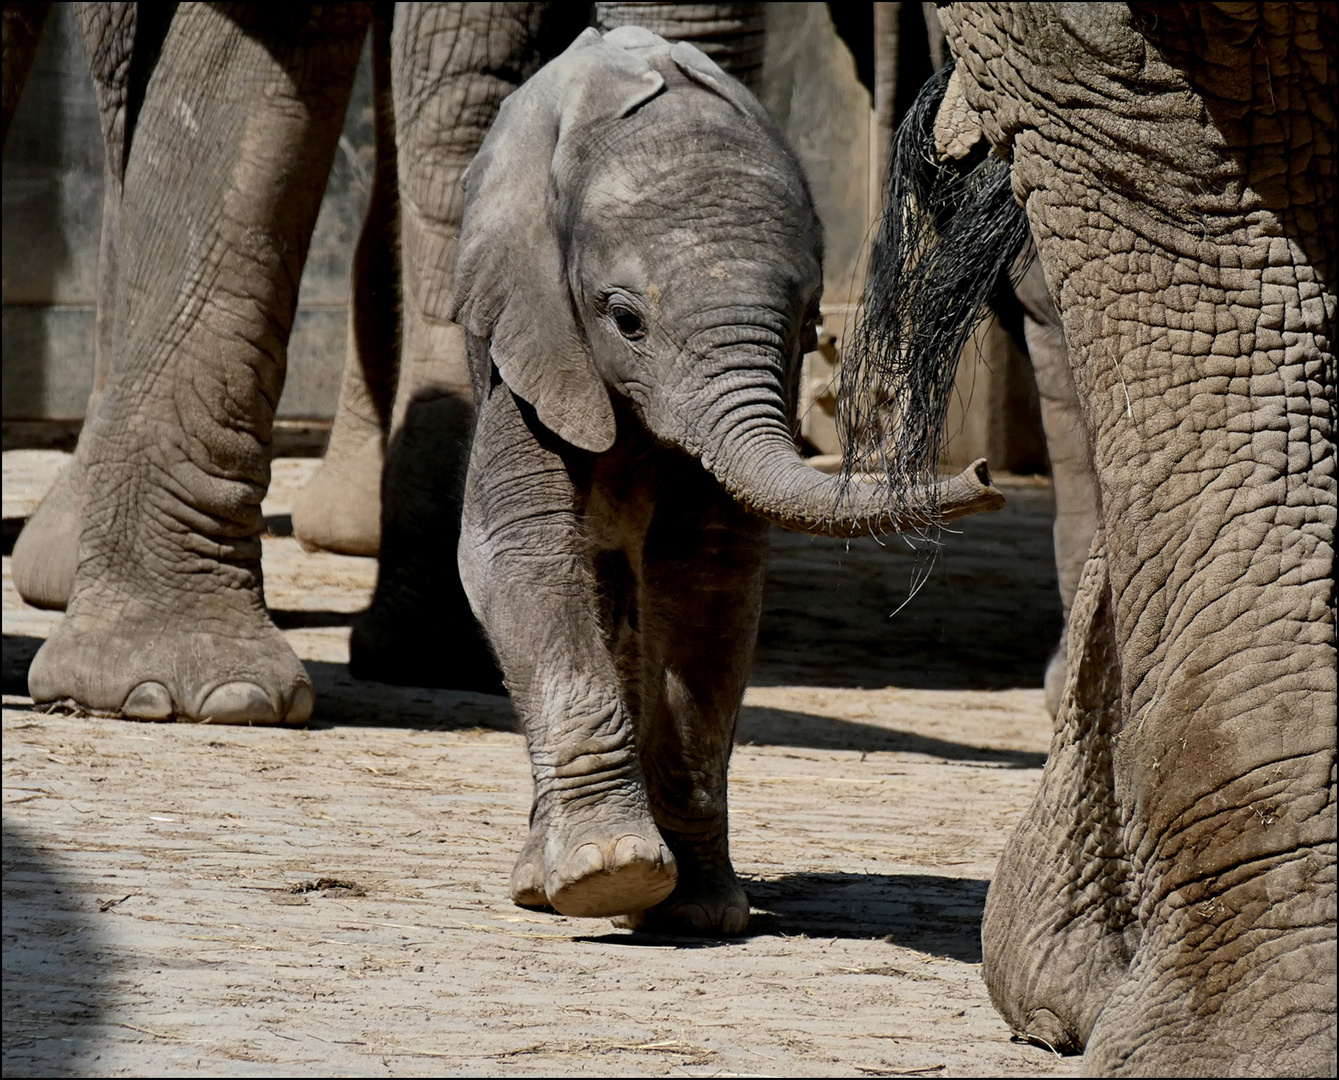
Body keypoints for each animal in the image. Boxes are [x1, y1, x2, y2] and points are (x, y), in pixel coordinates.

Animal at [452, 25, 1006, 936]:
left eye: (811, 320)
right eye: (624, 320)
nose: (986, 470)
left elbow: (708, 575)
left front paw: (693, 912)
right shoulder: (530, 331)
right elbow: (516, 551)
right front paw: (612, 875)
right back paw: (546, 882)